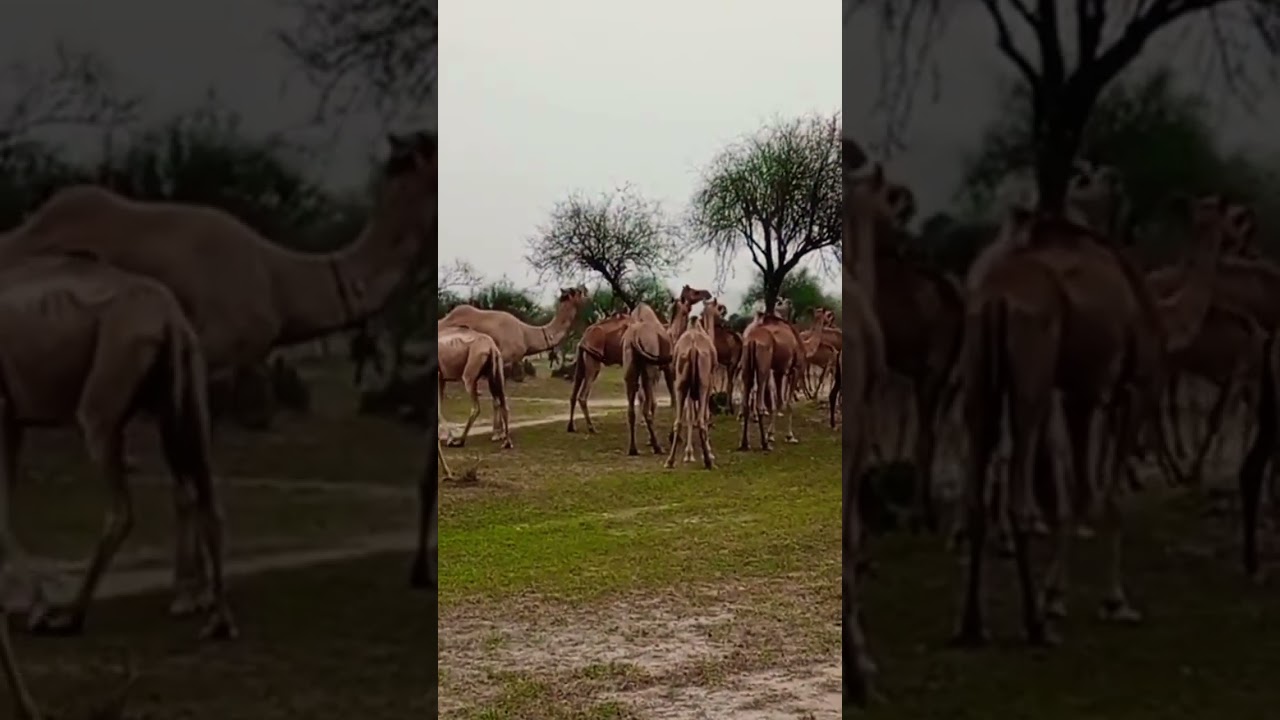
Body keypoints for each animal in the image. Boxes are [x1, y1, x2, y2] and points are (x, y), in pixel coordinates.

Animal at [440, 286, 588, 438]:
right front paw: (499, 433)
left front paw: (497, 431)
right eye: (577, 292)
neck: (525, 334)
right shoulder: (505, 362)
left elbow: (497, 397)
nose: (586, 292)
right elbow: (499, 397)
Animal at [665, 300, 722, 469]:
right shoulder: (709, 384)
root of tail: (693, 347)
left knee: (679, 420)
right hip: (703, 384)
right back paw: (708, 461)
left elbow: (689, 415)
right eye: (719, 308)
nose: (723, 315)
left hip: (680, 383)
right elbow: (704, 415)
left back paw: (670, 461)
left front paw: (689, 454)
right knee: (701, 420)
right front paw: (707, 452)